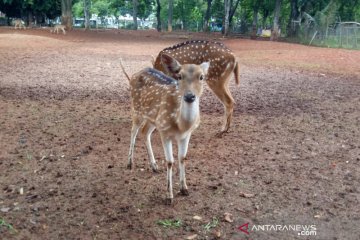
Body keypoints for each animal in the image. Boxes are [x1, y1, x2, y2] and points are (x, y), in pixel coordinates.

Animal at [121, 53, 210, 203]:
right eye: (179, 76)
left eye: (201, 77)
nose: (189, 96)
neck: (181, 125)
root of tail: (133, 75)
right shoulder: (164, 131)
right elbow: (170, 161)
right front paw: (169, 195)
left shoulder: (186, 135)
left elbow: (182, 158)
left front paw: (184, 189)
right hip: (136, 109)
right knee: (133, 131)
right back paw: (129, 163)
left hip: (153, 119)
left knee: (145, 132)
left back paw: (154, 166)